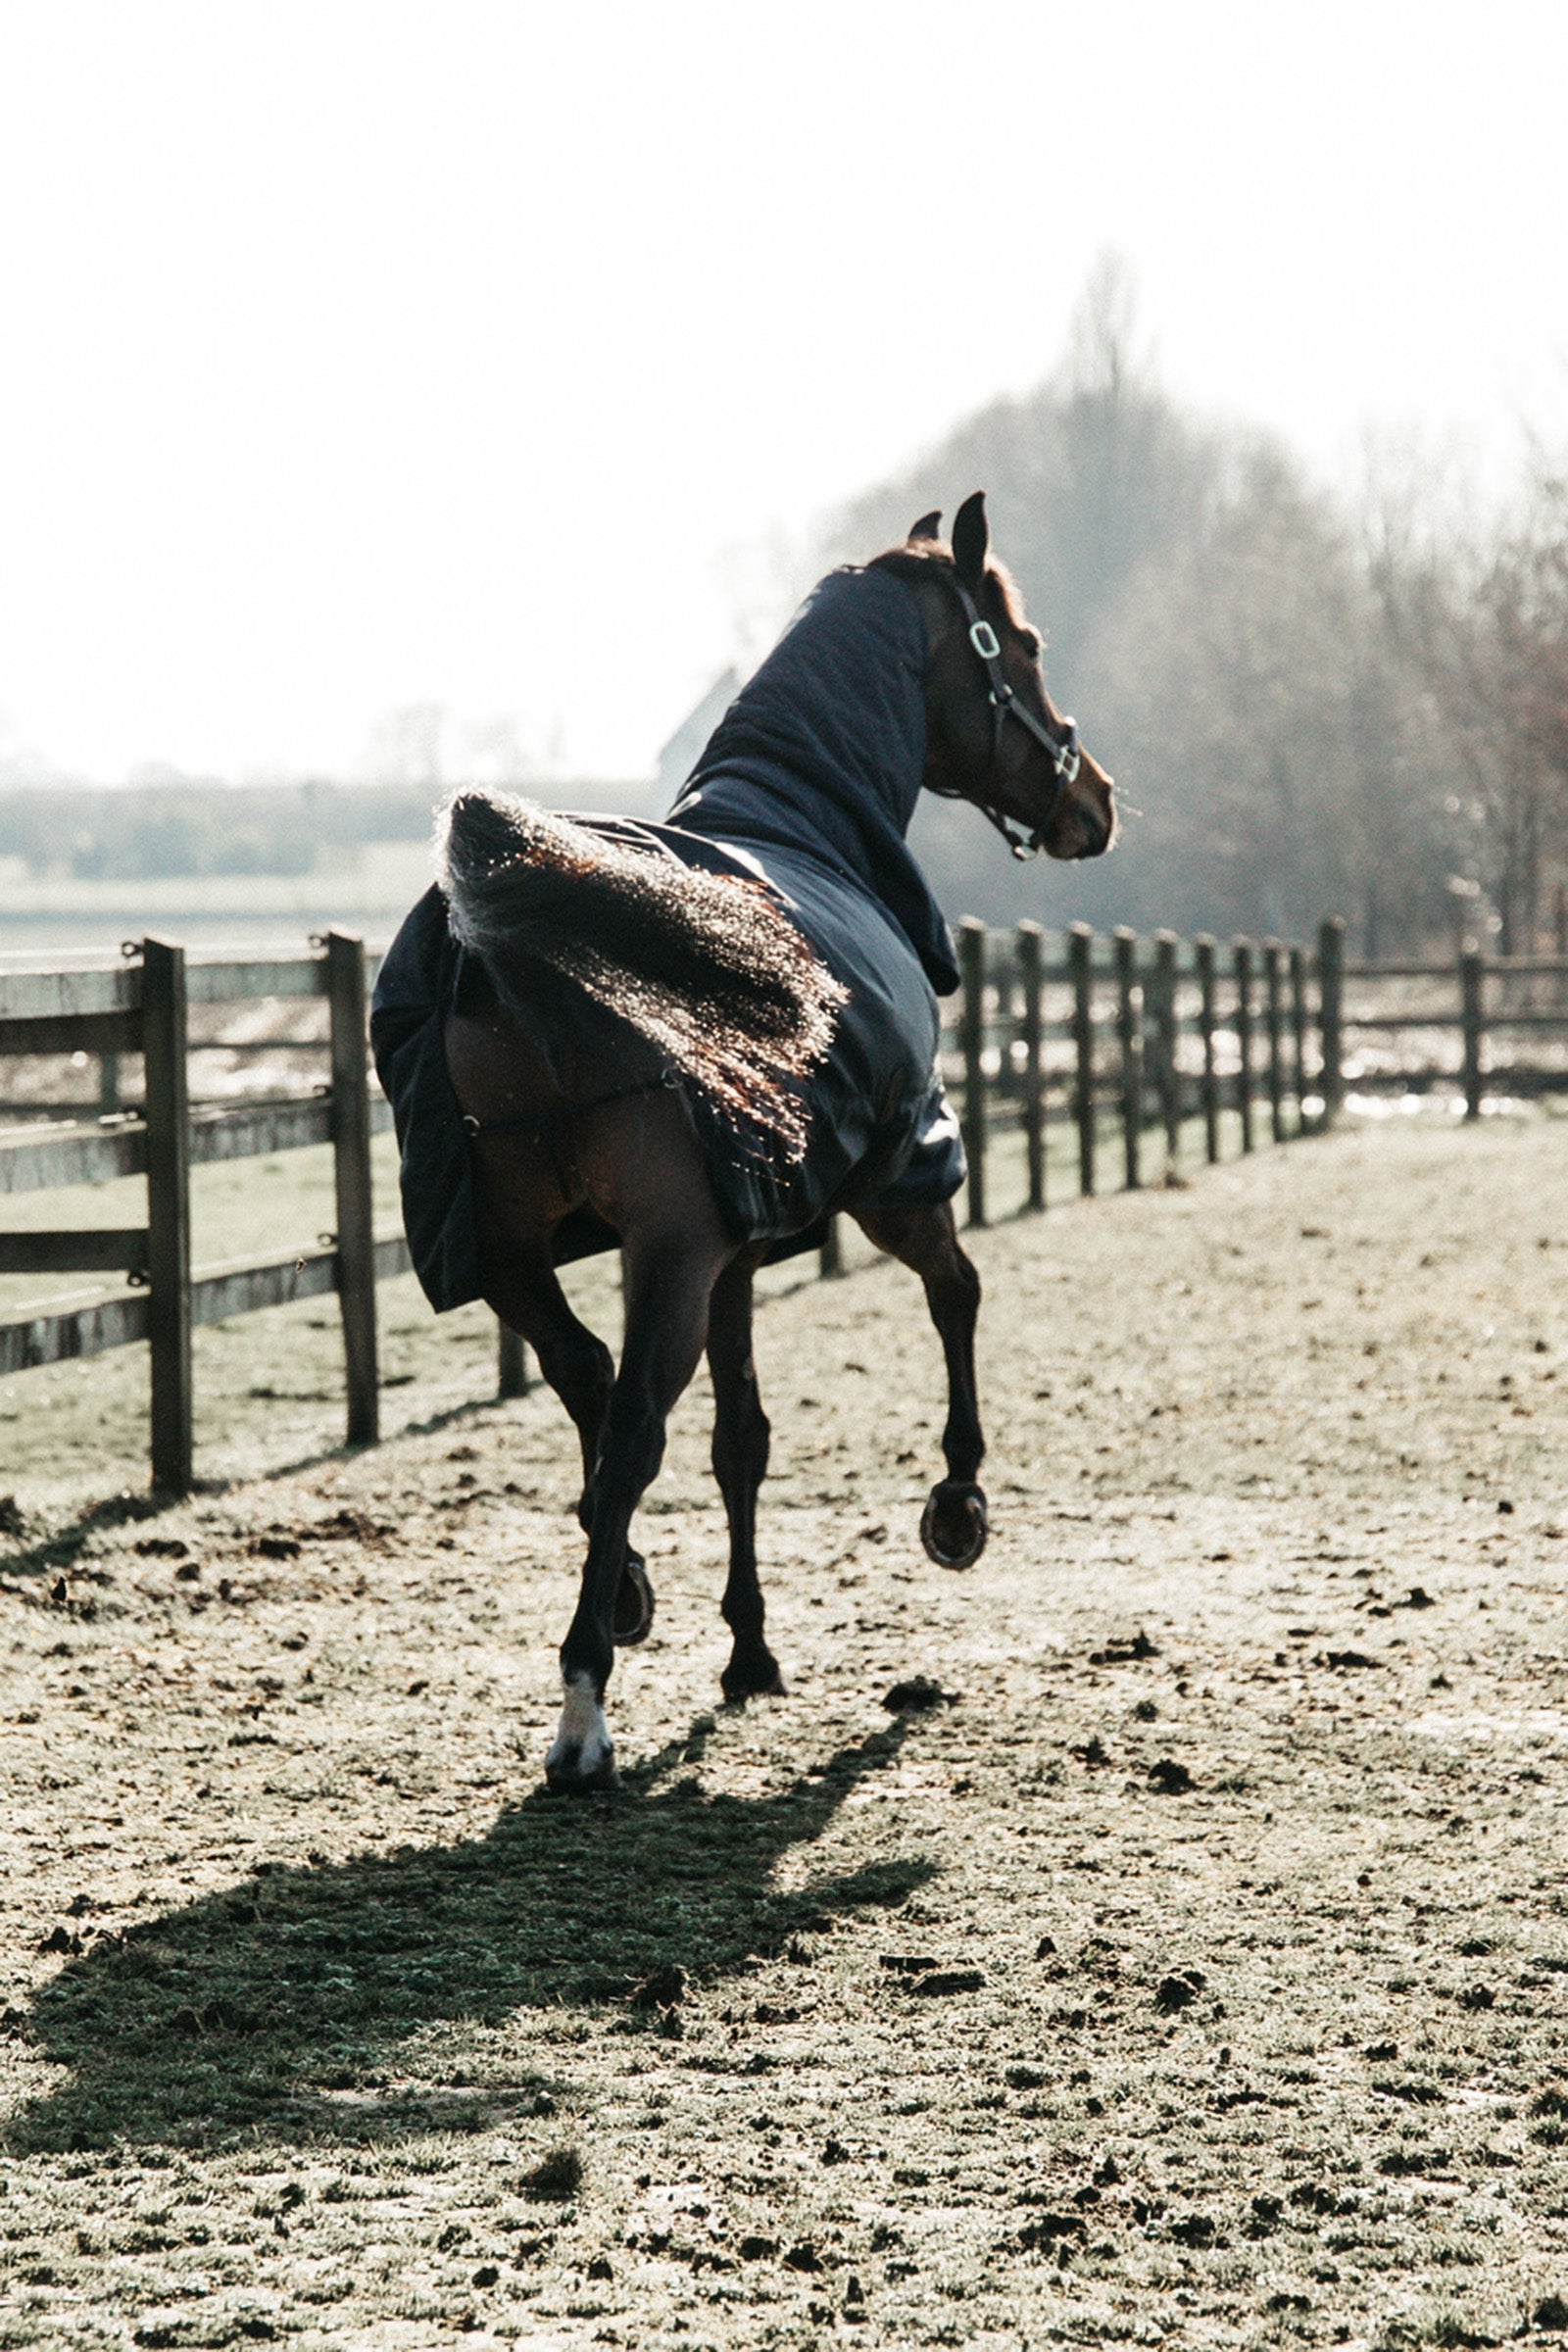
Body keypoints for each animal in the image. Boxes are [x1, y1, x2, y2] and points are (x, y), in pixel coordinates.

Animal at [371, 491, 1115, 1792]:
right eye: (1017, 645)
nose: (1096, 800)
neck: (800, 818)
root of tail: (499, 931)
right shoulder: (890, 1178)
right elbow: (957, 1298)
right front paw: (956, 1504)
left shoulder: (735, 1248)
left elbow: (742, 1443)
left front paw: (748, 1648)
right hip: (672, 1249)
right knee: (628, 1430)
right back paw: (582, 1711)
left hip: (510, 1252)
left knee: (590, 1387)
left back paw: (621, 1594)